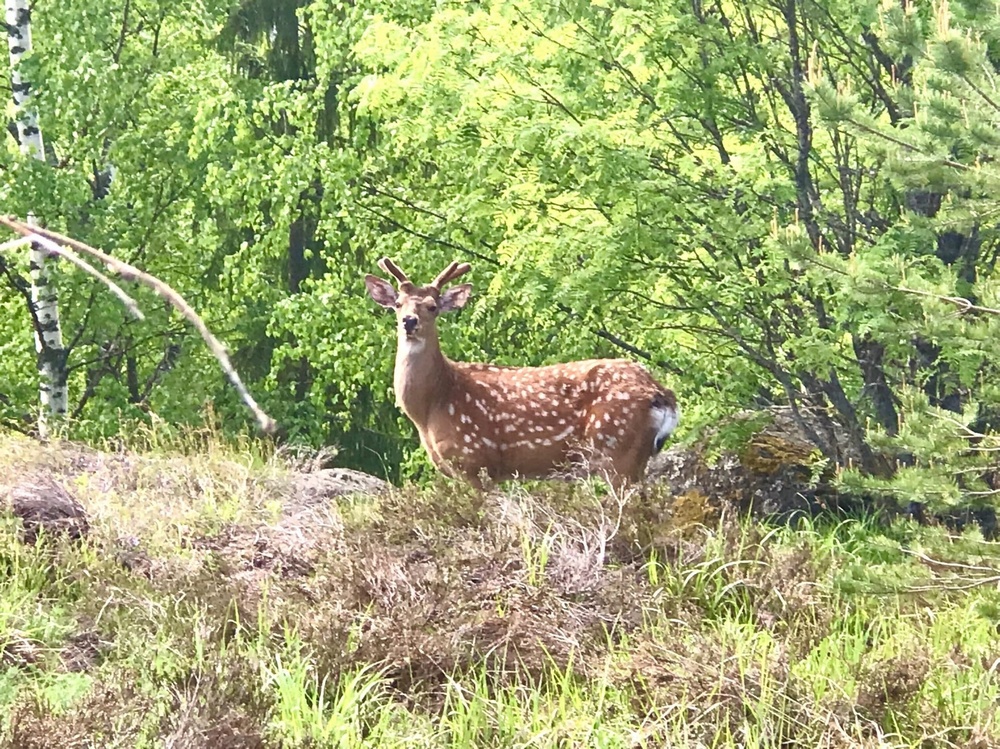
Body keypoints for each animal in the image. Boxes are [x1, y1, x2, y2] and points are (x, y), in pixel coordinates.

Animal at [364, 258, 684, 490]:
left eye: (432, 307)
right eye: (397, 305)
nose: (409, 321)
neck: (432, 406)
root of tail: (662, 394)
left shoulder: (474, 460)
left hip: (617, 448)